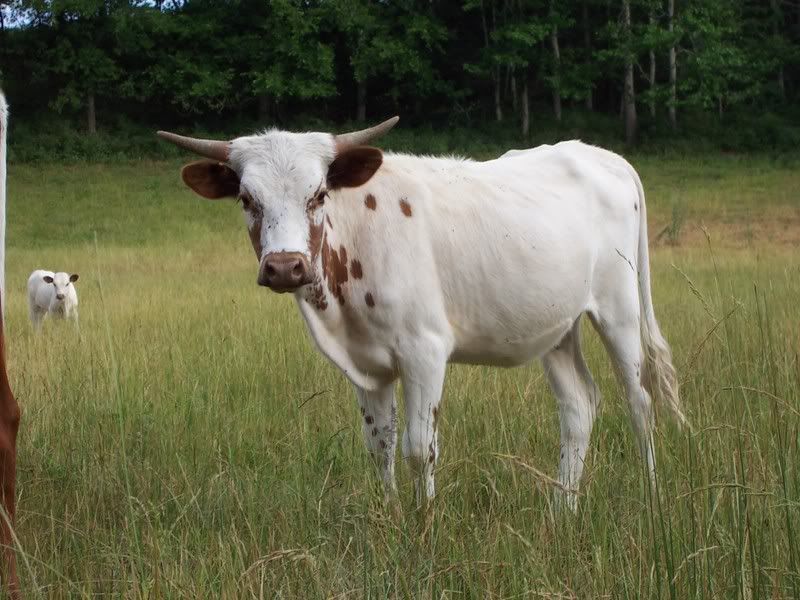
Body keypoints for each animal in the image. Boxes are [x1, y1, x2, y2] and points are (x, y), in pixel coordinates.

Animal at [157, 118, 686, 511]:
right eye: (248, 199)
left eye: (319, 194)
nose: (285, 266)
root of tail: (603, 156)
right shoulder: (366, 366)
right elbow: (380, 445)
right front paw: (391, 520)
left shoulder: (424, 352)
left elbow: (419, 447)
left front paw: (424, 527)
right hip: (557, 325)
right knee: (579, 406)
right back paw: (562, 510)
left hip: (619, 309)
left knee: (639, 401)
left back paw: (652, 498)